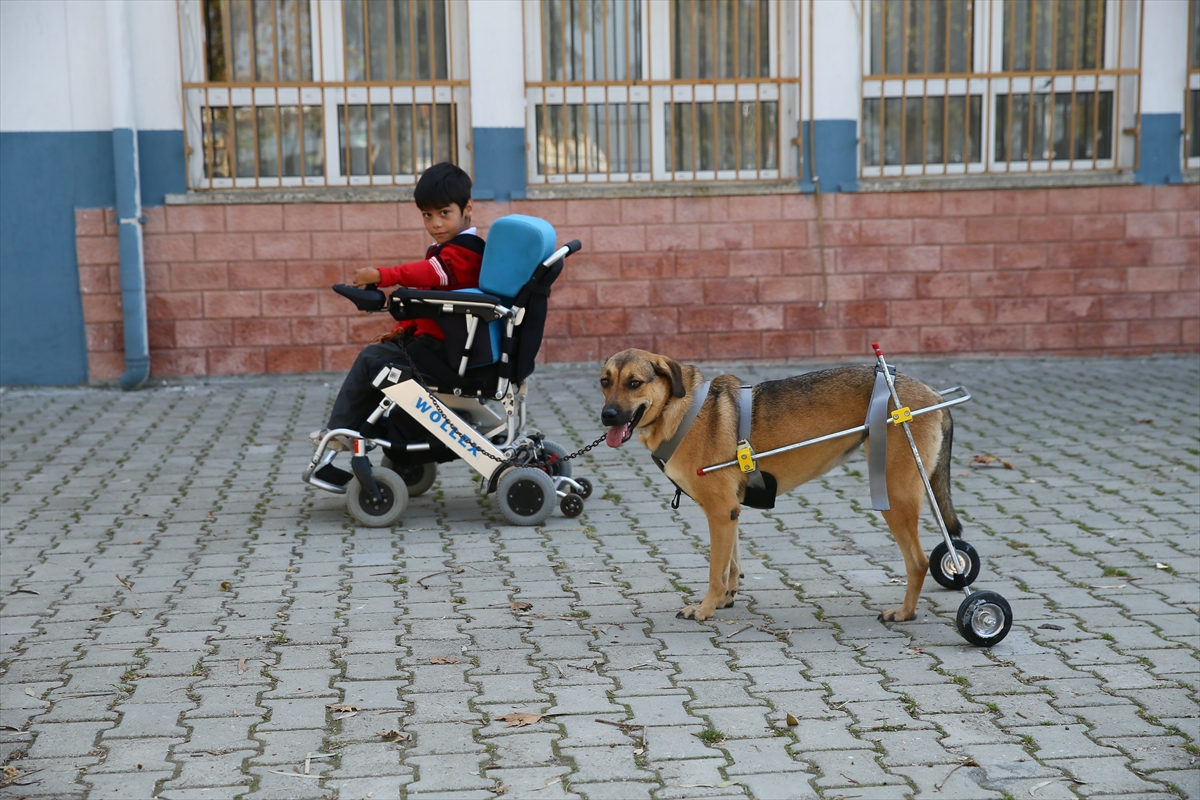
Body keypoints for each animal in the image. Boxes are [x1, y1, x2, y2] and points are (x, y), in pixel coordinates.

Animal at [600, 352, 964, 623]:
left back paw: (905, 613)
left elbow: (715, 572)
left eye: (634, 383)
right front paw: (725, 600)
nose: (607, 415)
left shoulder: (719, 512)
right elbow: (731, 565)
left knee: (918, 562)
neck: (681, 410)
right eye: (605, 381)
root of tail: (932, 395)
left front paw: (704, 609)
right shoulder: (730, 513)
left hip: (895, 496)